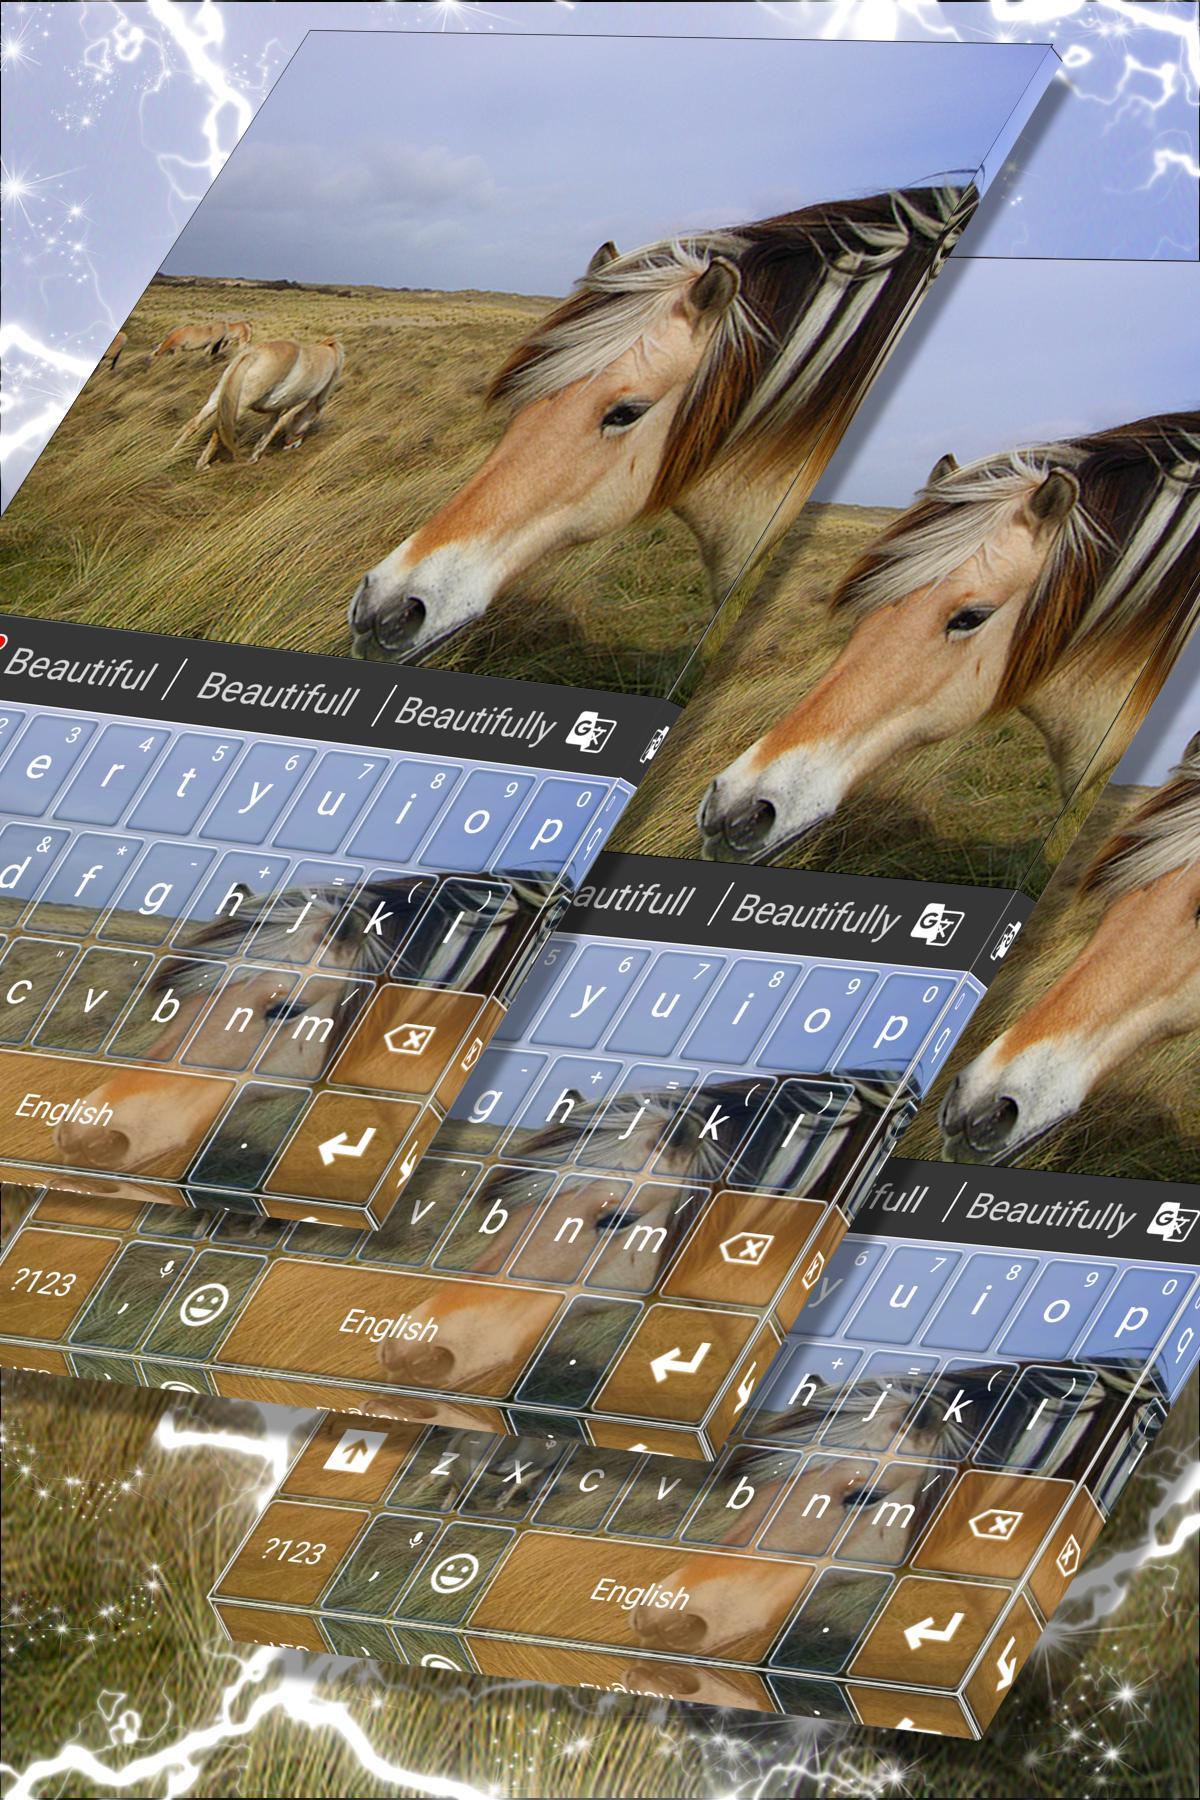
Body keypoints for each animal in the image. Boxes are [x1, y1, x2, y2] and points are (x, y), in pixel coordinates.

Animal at [171, 338, 344, 469]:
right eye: (312, 420)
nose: (293, 445)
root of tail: (253, 354)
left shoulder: (278, 408)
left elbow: (271, 426)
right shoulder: (298, 404)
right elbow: (278, 425)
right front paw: (254, 456)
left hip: (216, 398)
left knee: (194, 423)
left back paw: (174, 451)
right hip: (240, 406)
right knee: (219, 430)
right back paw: (202, 464)